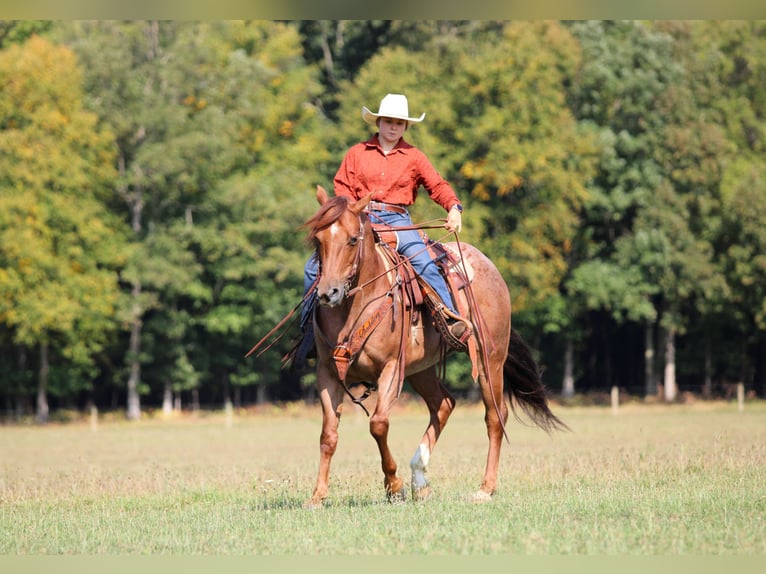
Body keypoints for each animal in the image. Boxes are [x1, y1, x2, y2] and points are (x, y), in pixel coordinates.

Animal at [300, 185, 567, 508]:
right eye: (318, 239)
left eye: (353, 239)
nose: (329, 293)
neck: (357, 308)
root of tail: (487, 265)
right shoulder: (327, 373)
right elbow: (328, 435)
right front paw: (317, 495)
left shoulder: (392, 368)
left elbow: (378, 424)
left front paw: (394, 485)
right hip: (421, 370)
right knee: (444, 404)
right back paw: (420, 479)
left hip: (490, 360)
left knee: (495, 416)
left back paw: (485, 488)